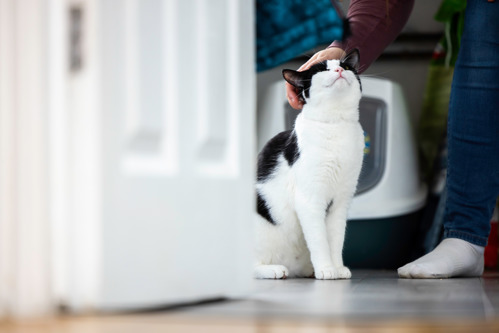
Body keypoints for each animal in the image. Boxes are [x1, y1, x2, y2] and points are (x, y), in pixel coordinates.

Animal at [256, 48, 366, 278]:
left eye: (347, 66)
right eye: (322, 69)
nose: (339, 70)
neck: (336, 124)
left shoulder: (340, 202)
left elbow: (335, 239)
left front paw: (337, 268)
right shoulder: (310, 200)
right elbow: (319, 240)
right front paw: (326, 269)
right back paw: (274, 270)